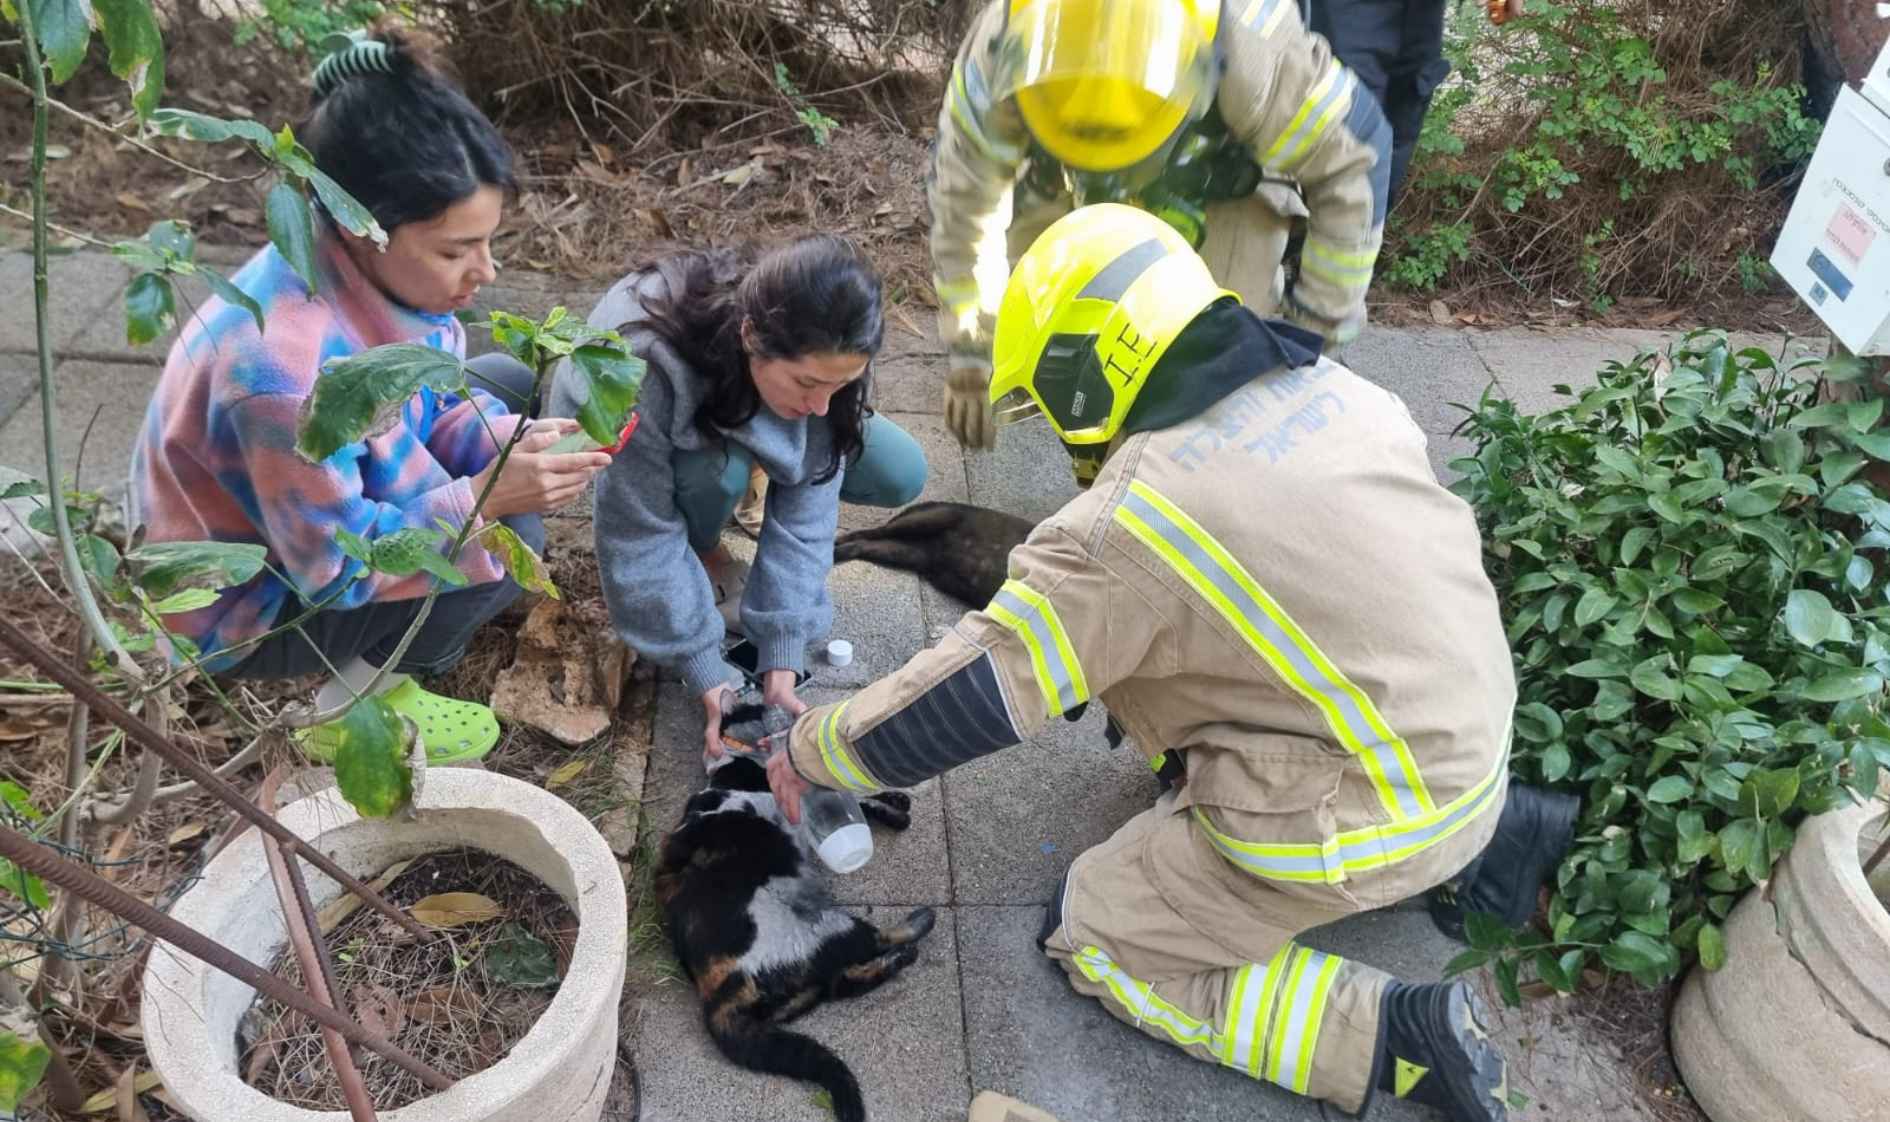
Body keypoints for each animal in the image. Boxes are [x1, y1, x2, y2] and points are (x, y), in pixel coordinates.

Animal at [657, 736, 937, 1110]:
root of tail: (717, 995)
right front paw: (891, 809)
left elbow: (859, 802)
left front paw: (895, 804)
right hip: (826, 927)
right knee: (873, 941)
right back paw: (917, 926)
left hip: (806, 986)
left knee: (846, 982)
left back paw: (903, 955)